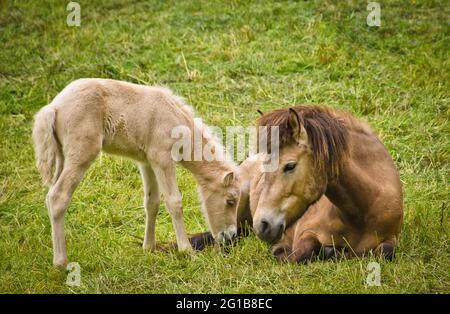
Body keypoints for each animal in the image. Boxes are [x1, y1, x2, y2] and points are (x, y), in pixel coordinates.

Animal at [192, 105, 402, 262]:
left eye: (290, 166)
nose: (262, 225)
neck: (362, 213)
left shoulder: (391, 238)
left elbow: (385, 252)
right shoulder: (306, 232)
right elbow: (302, 253)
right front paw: (281, 251)